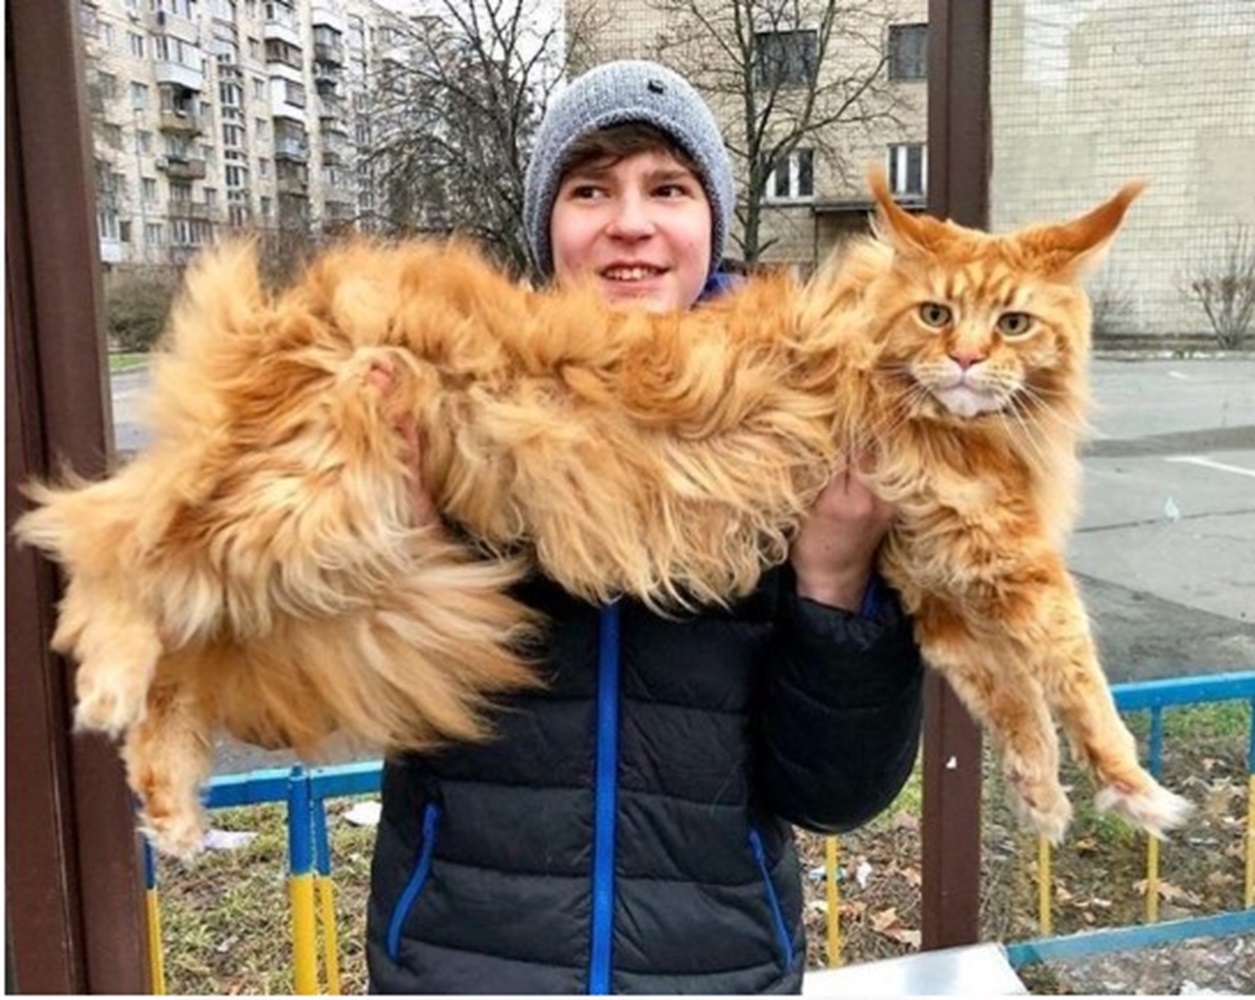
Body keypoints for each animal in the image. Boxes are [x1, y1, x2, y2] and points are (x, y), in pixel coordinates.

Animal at [14, 169, 1189, 848]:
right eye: (939, 313)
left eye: (1016, 323)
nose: (967, 360)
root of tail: (287, 311)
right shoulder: (1008, 562)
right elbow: (1075, 683)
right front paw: (1134, 790)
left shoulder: (932, 587)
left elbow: (1013, 704)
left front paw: (1041, 802)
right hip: (298, 503)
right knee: (121, 557)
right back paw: (107, 687)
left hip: (318, 554)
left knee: (184, 652)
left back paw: (169, 807)